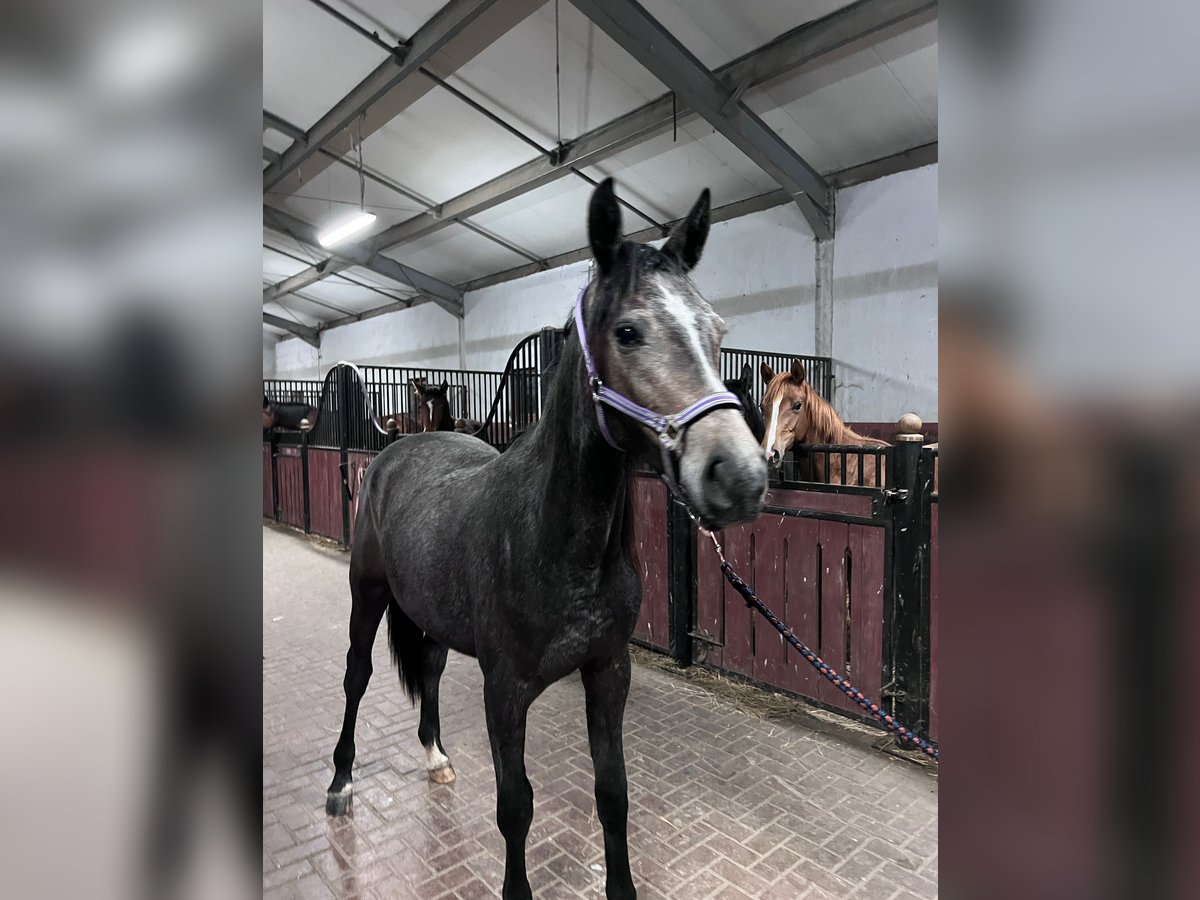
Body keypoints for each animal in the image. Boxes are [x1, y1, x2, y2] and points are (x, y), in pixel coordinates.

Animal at [324, 180, 763, 897]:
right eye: (628, 331)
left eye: (716, 330)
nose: (741, 475)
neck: (555, 540)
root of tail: (398, 450)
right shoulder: (504, 691)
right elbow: (516, 806)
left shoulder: (608, 673)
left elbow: (613, 794)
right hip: (368, 594)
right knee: (356, 676)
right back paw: (339, 783)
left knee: (430, 671)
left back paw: (436, 756)